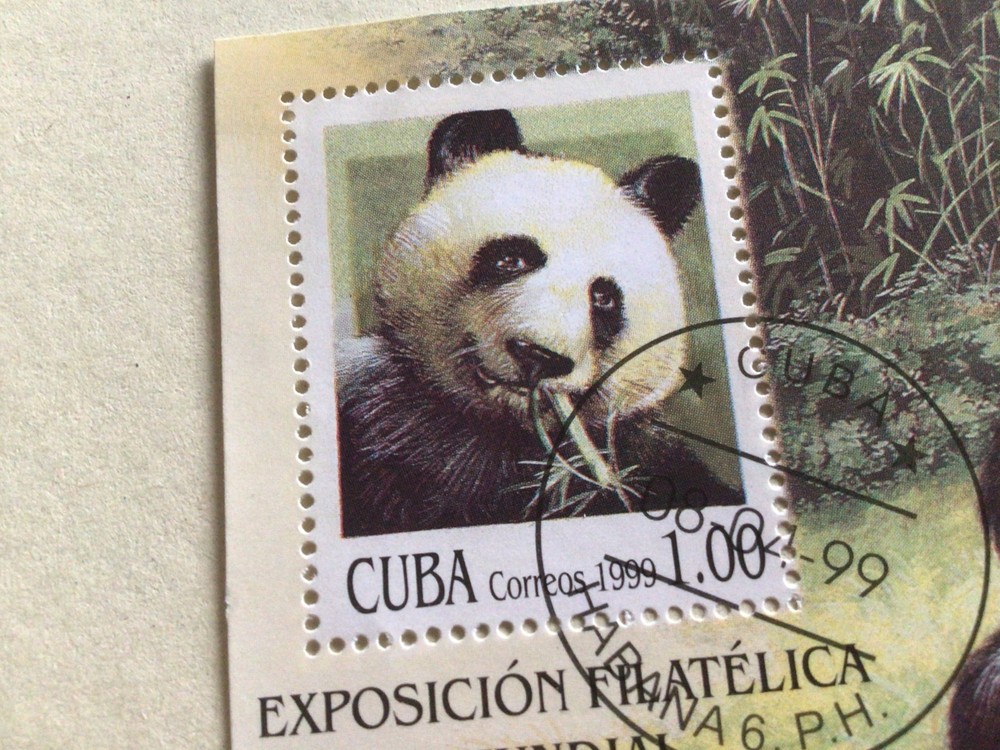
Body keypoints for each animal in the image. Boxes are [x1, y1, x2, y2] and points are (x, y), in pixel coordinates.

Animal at [336, 108, 743, 537]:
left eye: (603, 298)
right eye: (511, 258)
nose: (541, 356)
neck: (498, 435)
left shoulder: (642, 454)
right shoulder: (380, 415)